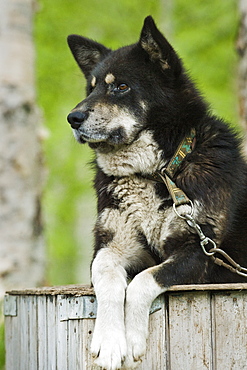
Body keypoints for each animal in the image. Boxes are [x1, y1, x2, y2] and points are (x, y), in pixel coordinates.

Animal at [66, 15, 247, 368]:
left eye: (121, 87)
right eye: (91, 89)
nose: (73, 117)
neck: (157, 171)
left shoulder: (200, 254)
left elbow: (143, 281)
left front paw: (133, 337)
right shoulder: (111, 245)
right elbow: (107, 278)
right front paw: (110, 341)